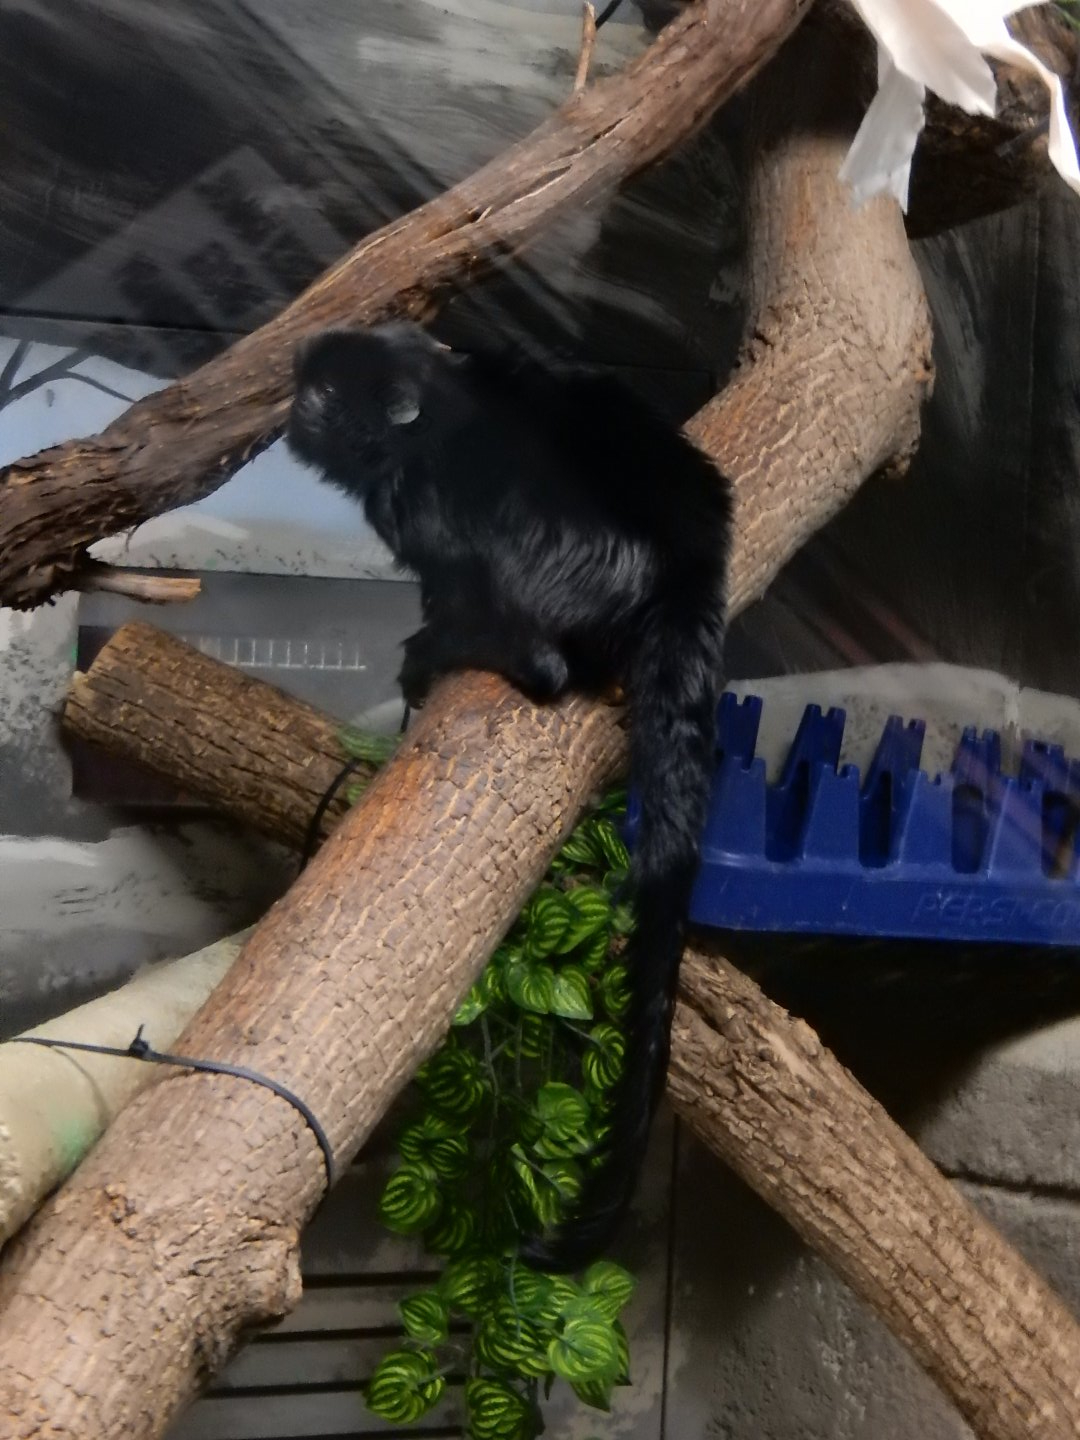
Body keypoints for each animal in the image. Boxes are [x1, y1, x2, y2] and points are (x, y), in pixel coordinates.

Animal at [287, 322, 732, 1272]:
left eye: (328, 397)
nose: (294, 400)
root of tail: (677, 564)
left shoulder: (415, 505)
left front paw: (432, 642)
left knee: (546, 659)